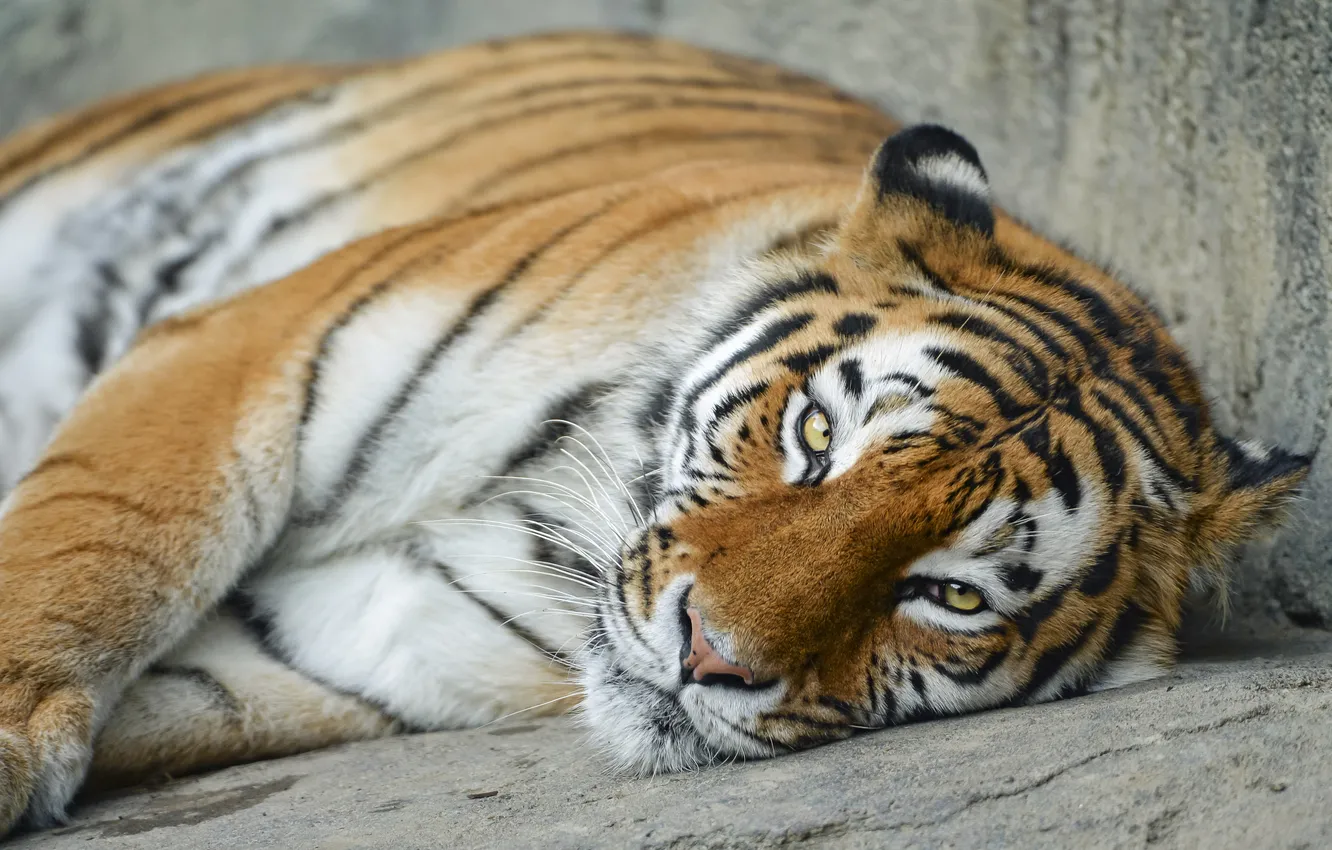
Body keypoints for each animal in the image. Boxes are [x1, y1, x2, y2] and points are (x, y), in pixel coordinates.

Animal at [0, 31, 1310, 835]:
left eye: (953, 595)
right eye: (814, 434)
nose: (706, 657)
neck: (548, 515)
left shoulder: (336, 639)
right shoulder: (254, 342)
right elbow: (94, 546)